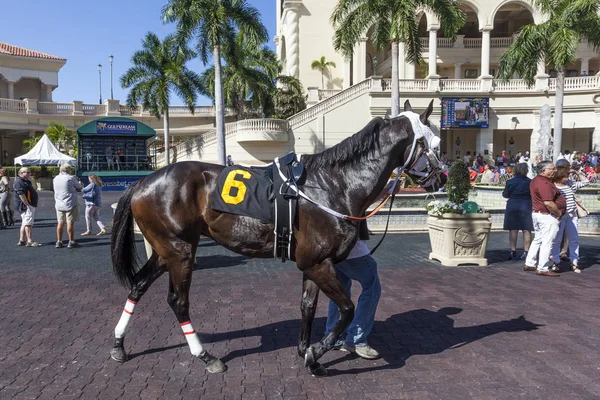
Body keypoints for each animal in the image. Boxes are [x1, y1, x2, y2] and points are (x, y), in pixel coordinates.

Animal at [110, 99, 442, 376]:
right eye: (436, 142)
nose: (443, 177)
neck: (334, 185)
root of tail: (142, 182)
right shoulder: (318, 264)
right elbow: (347, 309)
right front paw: (315, 352)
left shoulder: (314, 265)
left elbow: (308, 306)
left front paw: (307, 352)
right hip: (180, 252)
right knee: (178, 301)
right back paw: (206, 356)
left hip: (164, 250)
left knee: (138, 286)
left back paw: (118, 345)